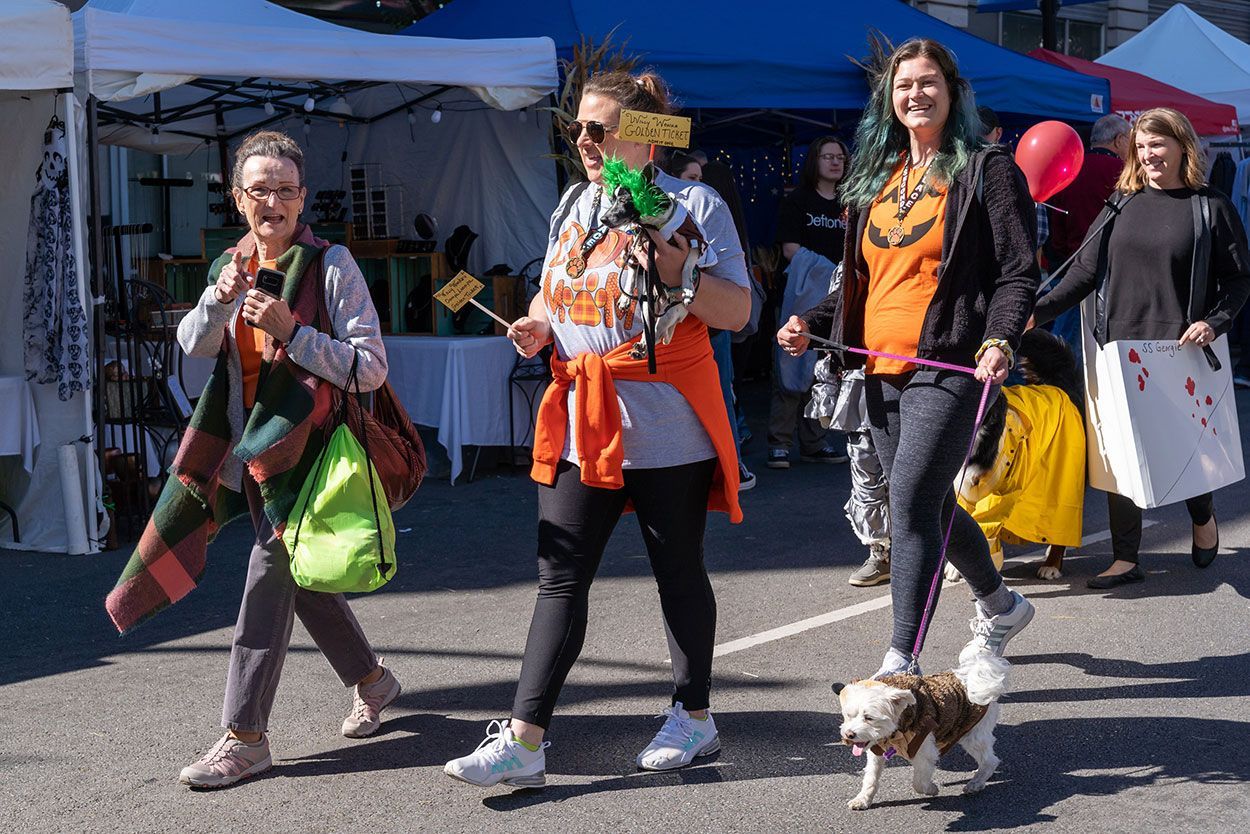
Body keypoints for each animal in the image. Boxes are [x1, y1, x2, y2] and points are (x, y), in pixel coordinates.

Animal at [835, 650, 1010, 810]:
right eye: (848, 715)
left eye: (869, 718)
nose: (849, 735)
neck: (895, 732)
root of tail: (971, 678)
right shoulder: (877, 751)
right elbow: (871, 777)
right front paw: (863, 799)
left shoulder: (924, 750)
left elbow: (919, 782)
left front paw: (931, 789)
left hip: (973, 733)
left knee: (990, 760)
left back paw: (976, 782)